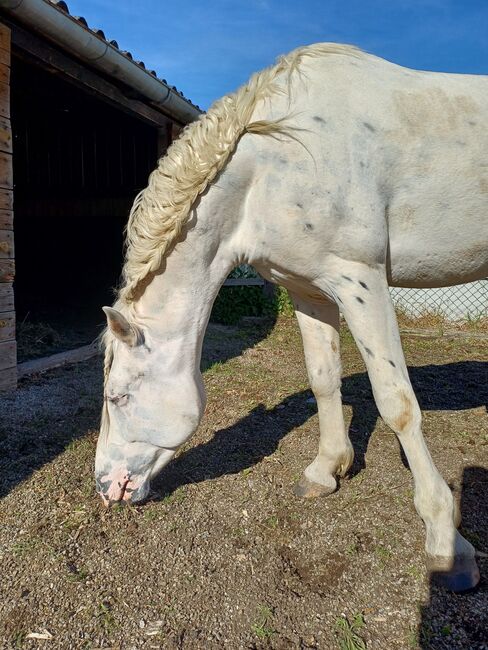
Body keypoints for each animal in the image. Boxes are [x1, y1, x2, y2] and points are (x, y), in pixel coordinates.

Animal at [94, 40, 484, 588]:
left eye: (119, 396)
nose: (104, 486)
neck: (279, 162)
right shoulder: (310, 290)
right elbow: (323, 379)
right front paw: (326, 471)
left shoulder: (362, 281)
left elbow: (398, 404)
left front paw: (447, 544)